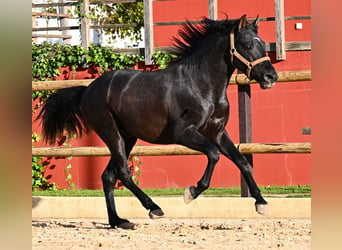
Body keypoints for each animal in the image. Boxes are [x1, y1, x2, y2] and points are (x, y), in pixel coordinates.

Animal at [37, 15, 278, 229]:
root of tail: (87, 91)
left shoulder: (217, 132)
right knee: (123, 173)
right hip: (112, 133)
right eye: (247, 44)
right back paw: (153, 208)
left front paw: (261, 203)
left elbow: (242, 161)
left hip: (128, 137)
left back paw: (118, 221)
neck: (200, 83)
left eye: (263, 43)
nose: (271, 77)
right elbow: (213, 154)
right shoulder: (184, 133)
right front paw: (191, 192)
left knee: (108, 176)